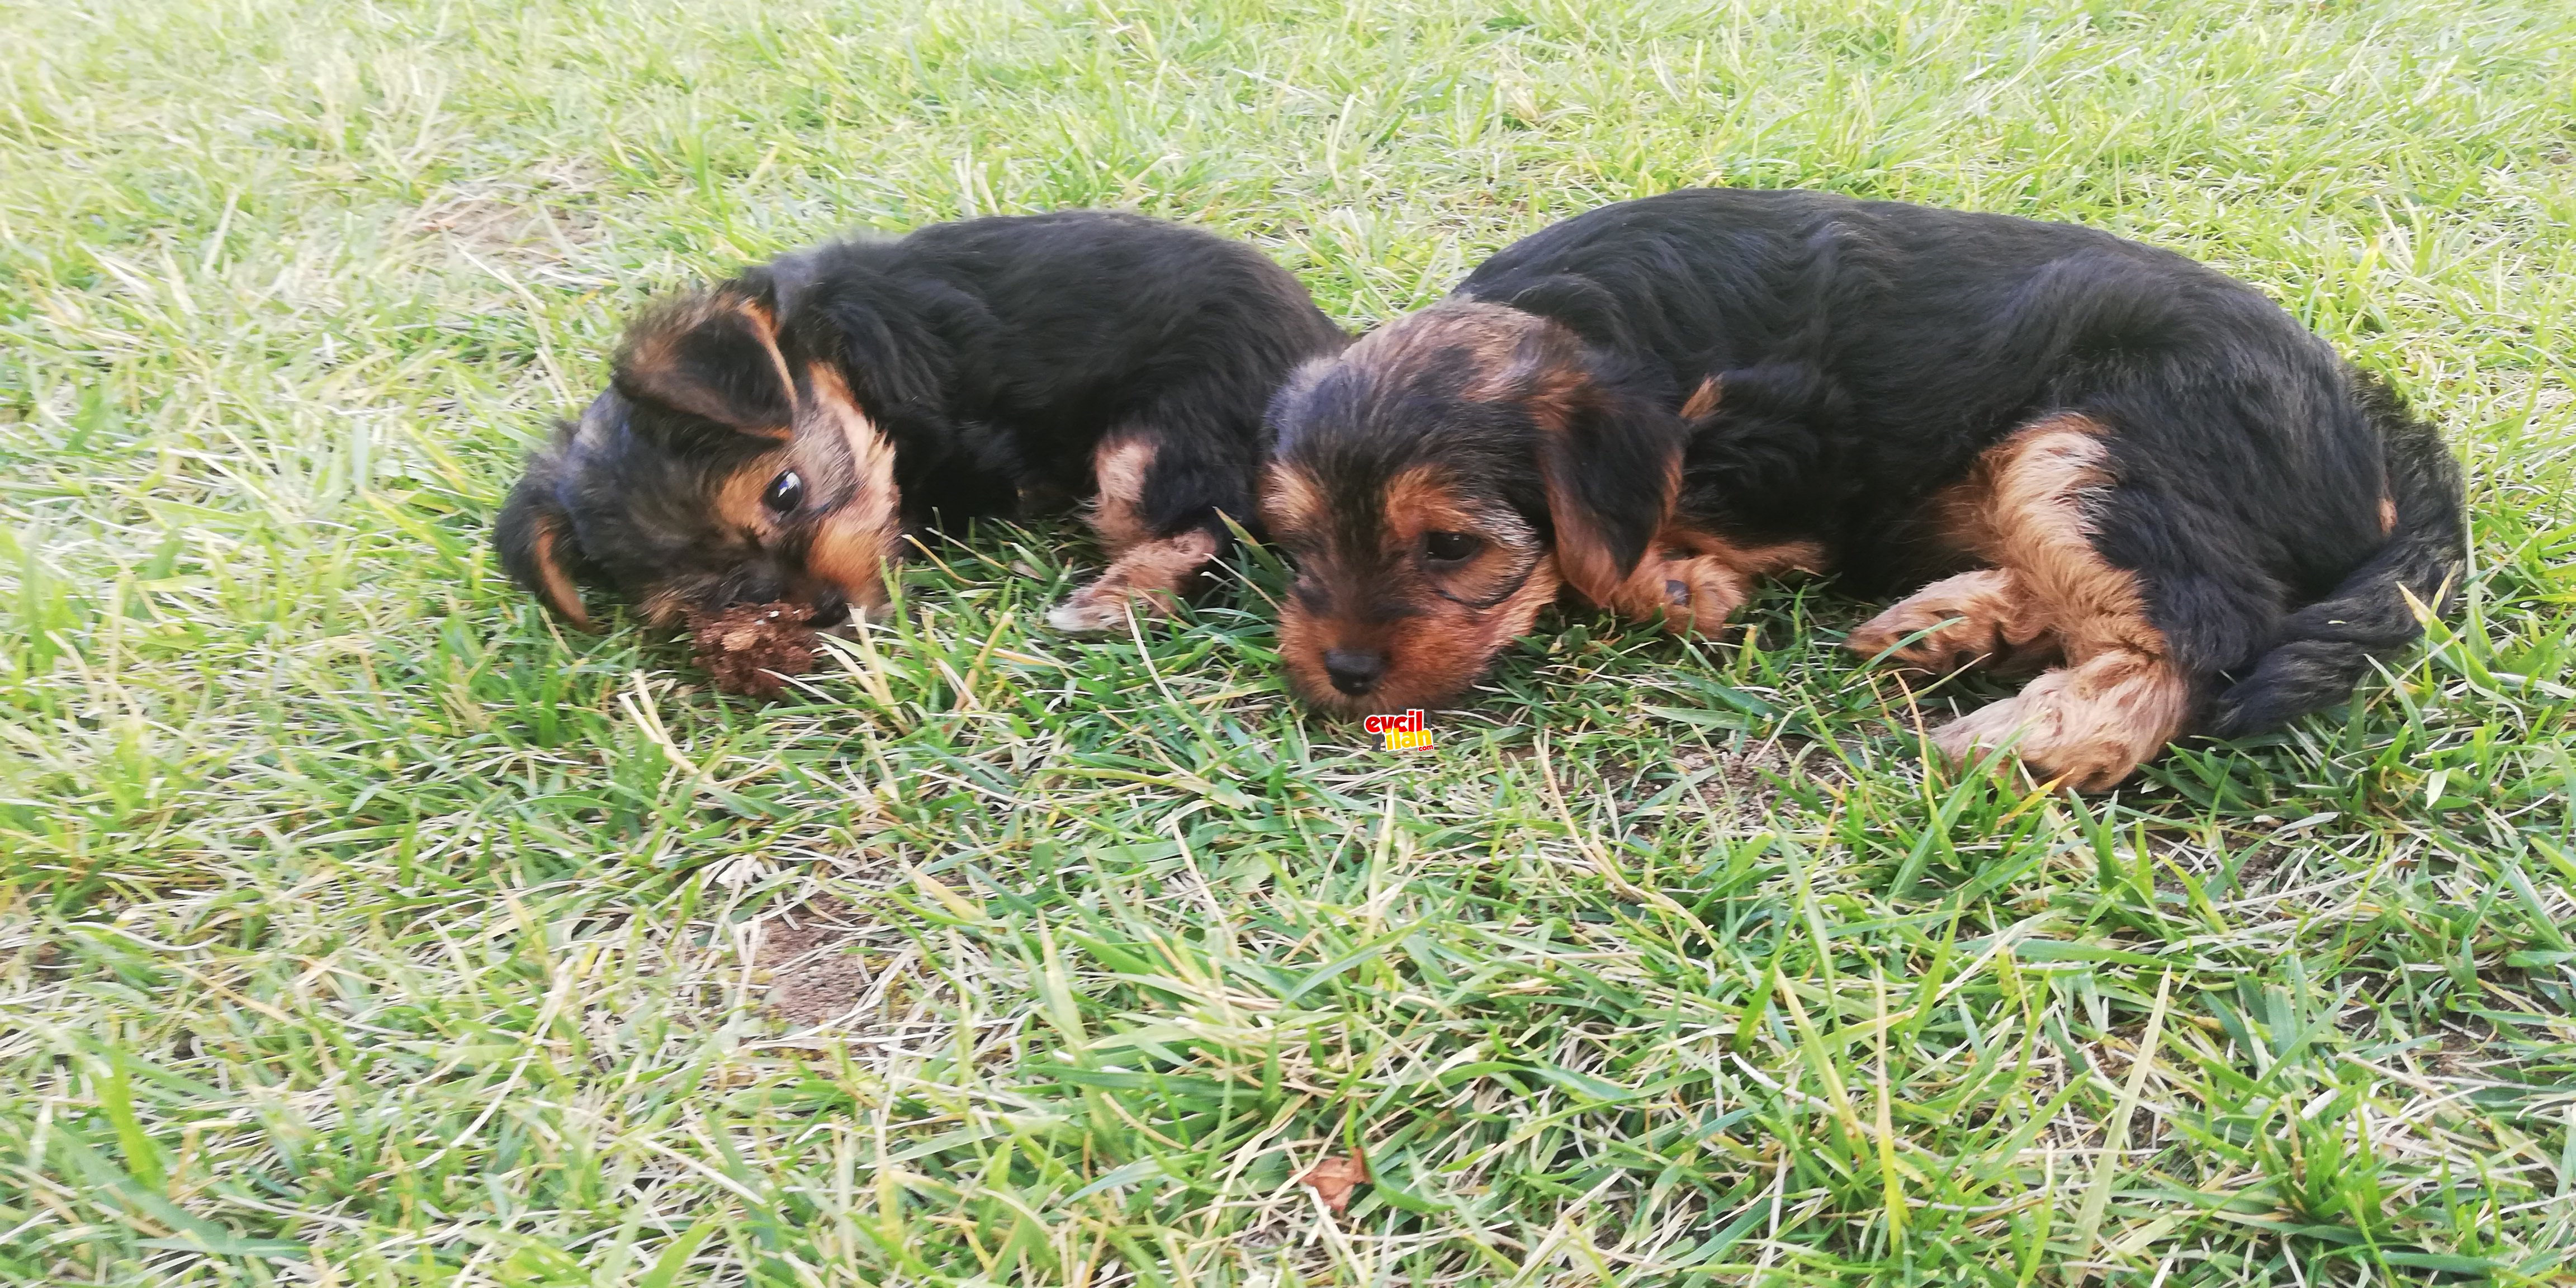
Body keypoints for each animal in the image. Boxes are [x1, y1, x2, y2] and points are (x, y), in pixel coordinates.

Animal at [494, 212, 1360, 695]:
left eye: (786, 492)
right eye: (697, 599)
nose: (825, 610)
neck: (837, 360)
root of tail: (1329, 345)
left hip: (1156, 443)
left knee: (1216, 522)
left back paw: (1117, 596)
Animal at [1257, 188, 2463, 788]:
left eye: (1452, 548)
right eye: (1300, 541)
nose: (1343, 673)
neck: (1584, 325)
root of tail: (2372, 435)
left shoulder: (1779, 453)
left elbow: (1613, 549)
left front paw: (1673, 583)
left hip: (2092, 443)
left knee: (2205, 625)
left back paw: (2029, 737)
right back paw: (1949, 624)